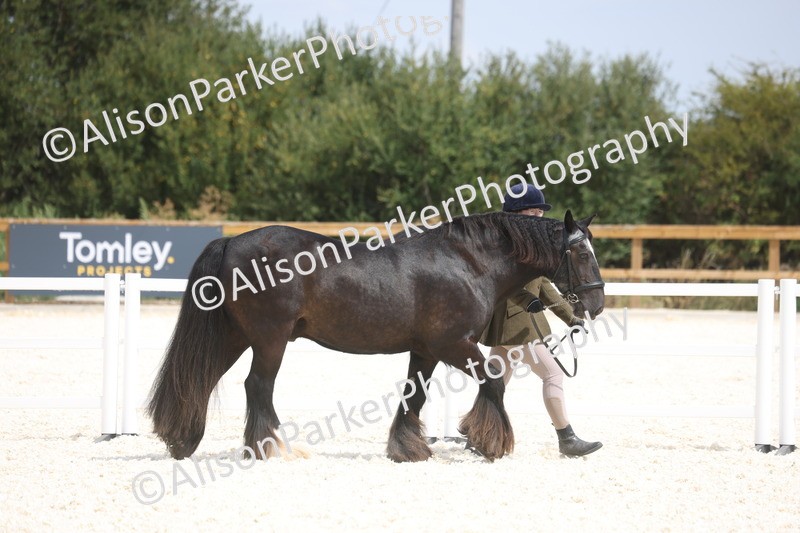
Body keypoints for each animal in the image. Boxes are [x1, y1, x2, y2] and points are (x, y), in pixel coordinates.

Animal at [147, 209, 605, 463]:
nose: (596, 305)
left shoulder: (426, 351)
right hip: (268, 340)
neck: (466, 261)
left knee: (200, 378)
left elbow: (413, 397)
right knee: (257, 386)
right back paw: (273, 448)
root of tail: (231, 242)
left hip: (234, 336)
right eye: (582, 253)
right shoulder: (454, 345)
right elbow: (492, 381)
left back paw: (183, 440)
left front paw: (408, 449)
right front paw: (489, 442)